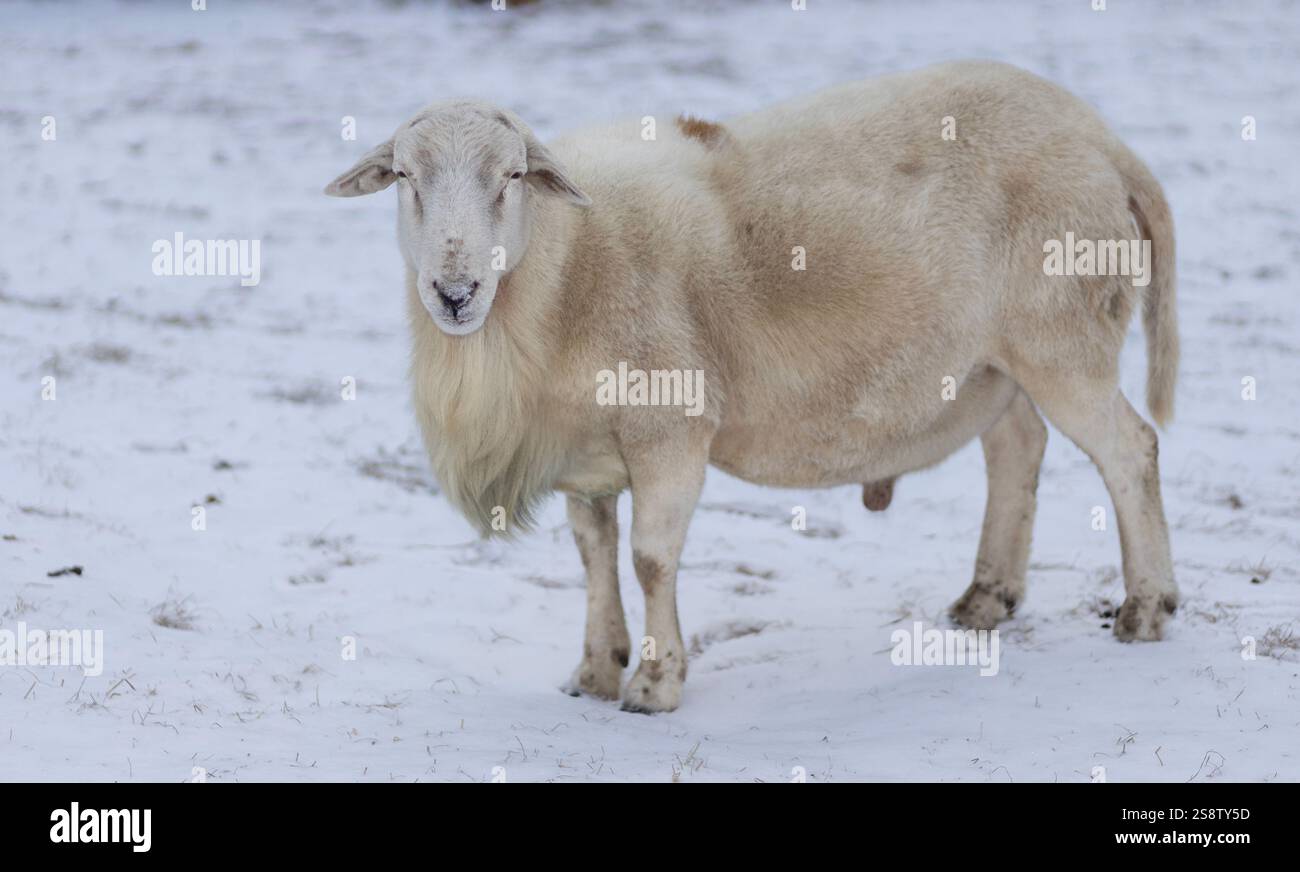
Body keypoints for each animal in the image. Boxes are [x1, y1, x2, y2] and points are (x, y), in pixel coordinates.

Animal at [325, 60, 1179, 713]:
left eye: (511, 177)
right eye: (404, 177)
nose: (454, 292)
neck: (562, 272)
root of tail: (1108, 145)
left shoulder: (668, 427)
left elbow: (649, 558)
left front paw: (655, 684)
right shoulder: (587, 452)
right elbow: (593, 556)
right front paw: (595, 670)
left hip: (1062, 338)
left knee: (1130, 448)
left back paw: (1146, 608)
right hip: (994, 359)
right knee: (1017, 448)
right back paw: (986, 599)